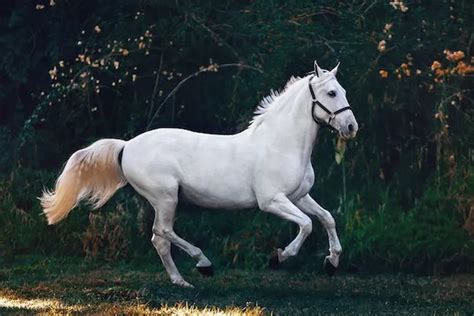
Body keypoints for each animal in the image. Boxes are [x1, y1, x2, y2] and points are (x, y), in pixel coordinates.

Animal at [40, 60, 358, 288]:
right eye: (331, 93)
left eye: (344, 91)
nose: (351, 127)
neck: (281, 144)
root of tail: (126, 146)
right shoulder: (272, 201)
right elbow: (306, 224)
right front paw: (279, 257)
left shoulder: (300, 196)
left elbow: (327, 218)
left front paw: (332, 263)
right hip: (166, 197)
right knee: (162, 232)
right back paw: (203, 264)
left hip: (165, 200)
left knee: (159, 239)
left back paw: (181, 281)